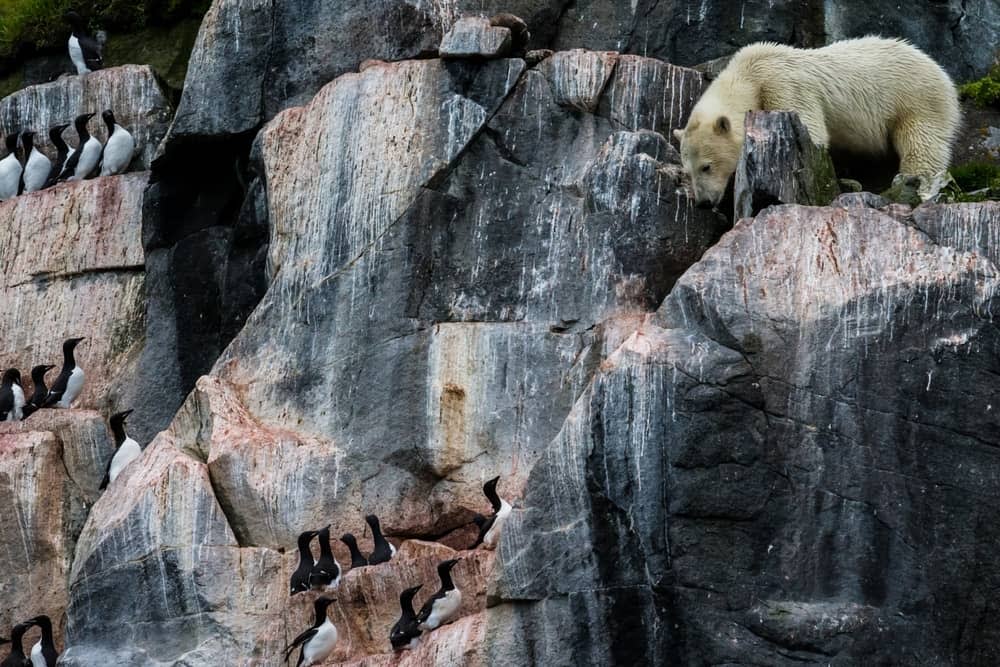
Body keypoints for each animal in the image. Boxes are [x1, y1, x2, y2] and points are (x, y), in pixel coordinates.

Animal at [672, 36, 960, 207]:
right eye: (687, 171)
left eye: (707, 166)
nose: (703, 203)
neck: (749, 74)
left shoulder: (783, 85)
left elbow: (812, 128)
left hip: (915, 99)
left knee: (922, 142)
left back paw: (913, 183)